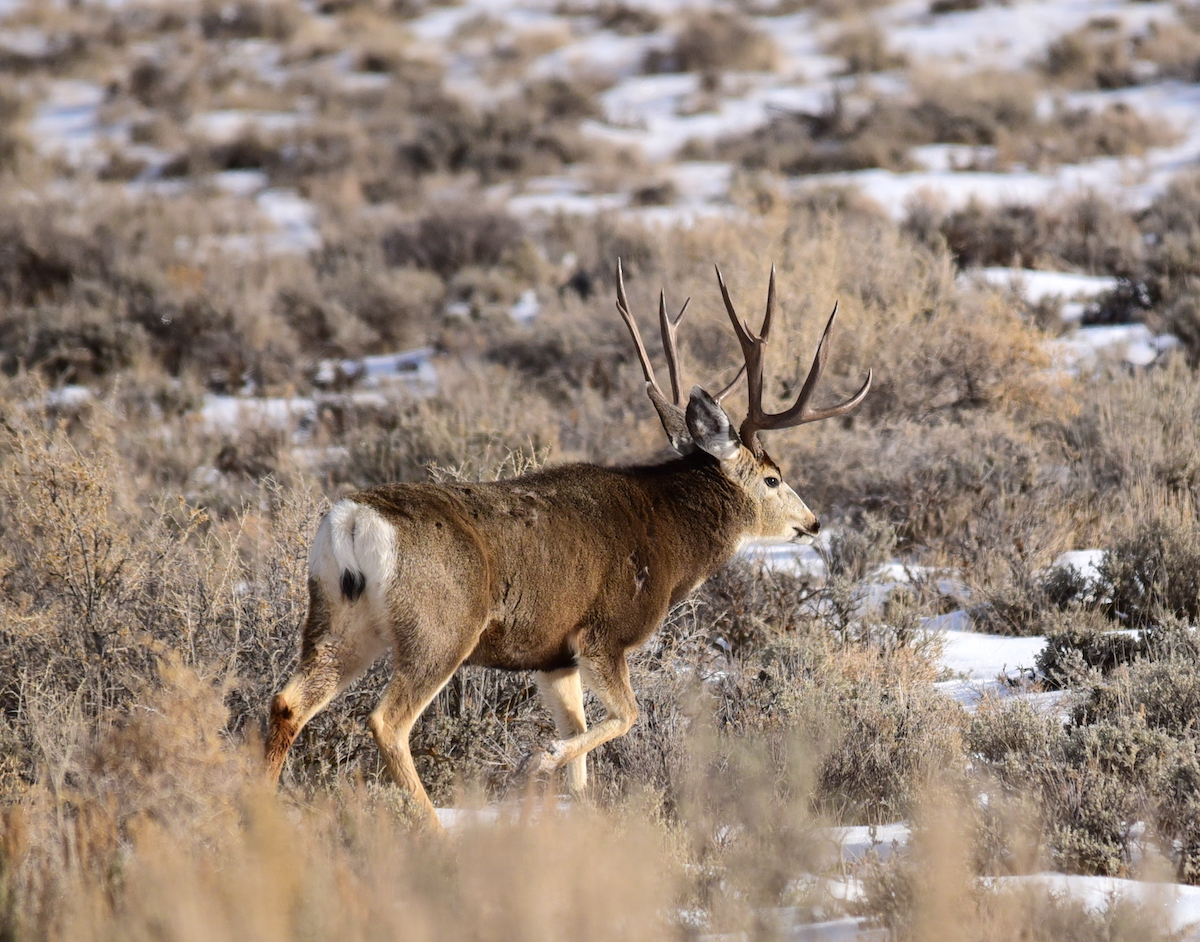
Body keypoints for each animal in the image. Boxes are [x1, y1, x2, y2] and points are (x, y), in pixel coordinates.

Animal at [265, 262, 873, 825]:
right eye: (772, 478)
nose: (813, 522)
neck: (668, 537)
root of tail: (352, 521)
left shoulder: (553, 656)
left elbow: (582, 749)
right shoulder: (603, 633)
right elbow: (627, 717)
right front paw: (537, 759)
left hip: (339, 617)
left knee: (288, 701)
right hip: (439, 625)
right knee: (385, 720)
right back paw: (435, 830)